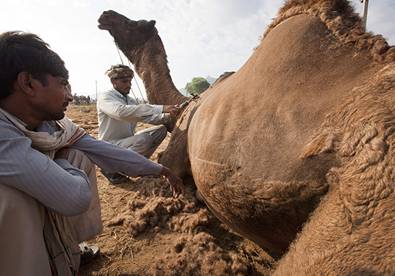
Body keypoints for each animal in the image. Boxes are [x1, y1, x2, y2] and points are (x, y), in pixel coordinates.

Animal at [99, 1, 395, 274]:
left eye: (135, 23)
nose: (106, 15)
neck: (185, 104)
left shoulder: (176, 153)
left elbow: (165, 167)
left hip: (362, 203)